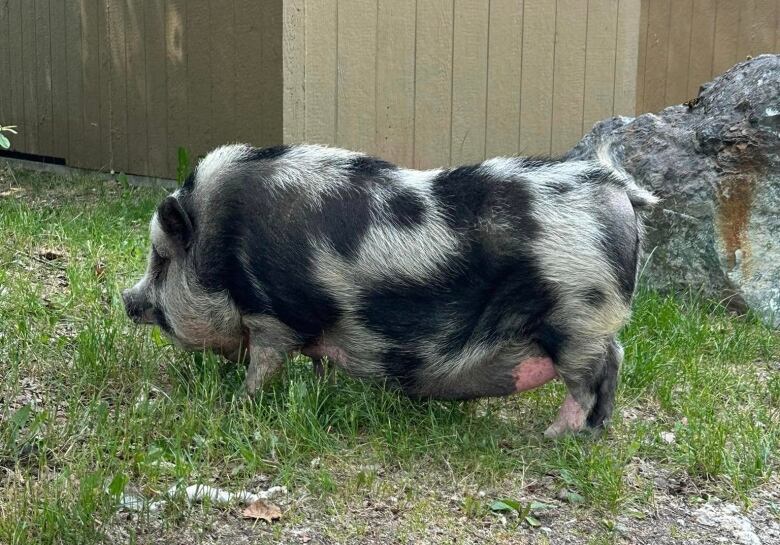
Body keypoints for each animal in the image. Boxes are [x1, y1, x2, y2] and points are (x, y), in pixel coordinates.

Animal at [123, 142, 660, 436]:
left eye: (161, 258)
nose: (127, 300)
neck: (222, 244)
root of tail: (615, 187)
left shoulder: (273, 313)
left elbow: (265, 362)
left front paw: (239, 404)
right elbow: (315, 362)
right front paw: (318, 387)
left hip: (578, 319)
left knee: (590, 377)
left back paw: (554, 436)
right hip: (591, 325)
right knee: (616, 361)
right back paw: (592, 434)